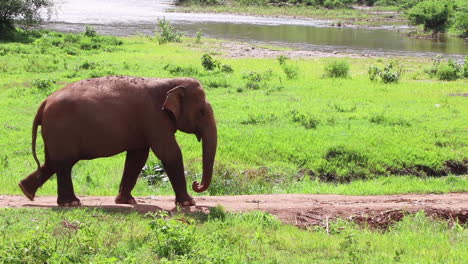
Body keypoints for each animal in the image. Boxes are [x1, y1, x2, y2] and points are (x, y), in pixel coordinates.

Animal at [16, 76, 218, 206]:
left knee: (54, 162)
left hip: (55, 133)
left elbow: (138, 157)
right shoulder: (154, 118)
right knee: (64, 164)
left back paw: (26, 191)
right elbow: (169, 152)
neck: (170, 82)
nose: (196, 184)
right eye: (201, 112)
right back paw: (71, 203)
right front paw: (188, 203)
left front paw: (125, 201)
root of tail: (44, 103)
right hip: (61, 130)